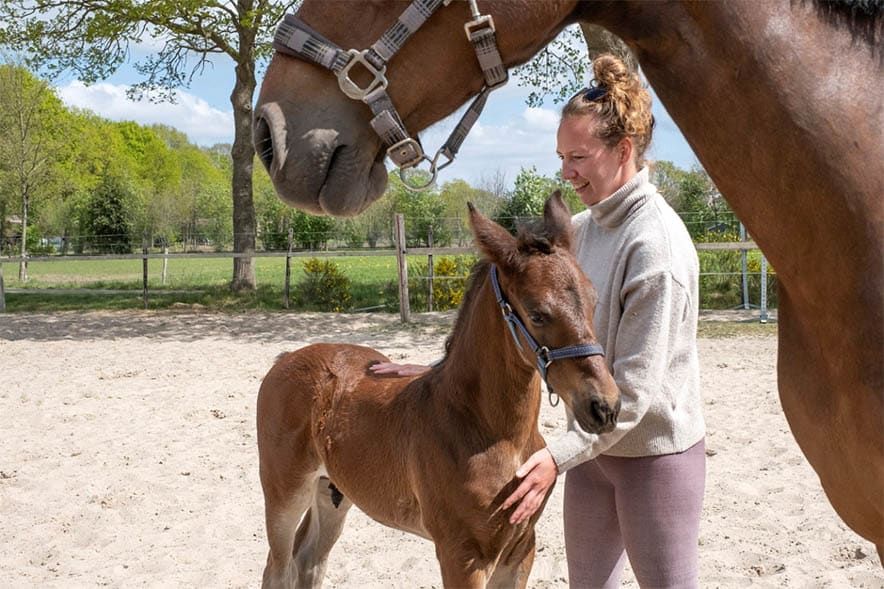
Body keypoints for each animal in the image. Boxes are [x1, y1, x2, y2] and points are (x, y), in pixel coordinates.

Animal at [256, 193, 621, 588]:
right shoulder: (461, 555)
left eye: (594, 300)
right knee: (278, 568)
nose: (605, 406)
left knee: (309, 561)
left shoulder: (522, 548)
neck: (495, 433)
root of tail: (285, 358)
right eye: (537, 313)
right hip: (284, 494)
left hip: (332, 491)